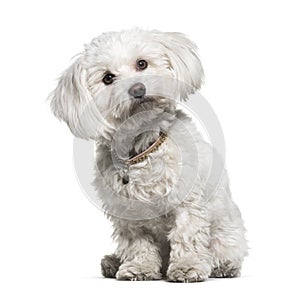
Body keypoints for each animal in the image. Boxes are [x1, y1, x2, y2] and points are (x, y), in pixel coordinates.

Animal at [49, 27, 246, 280]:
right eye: (108, 78)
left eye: (142, 63)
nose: (137, 89)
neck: (142, 149)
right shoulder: (130, 216)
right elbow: (138, 244)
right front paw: (139, 267)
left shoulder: (187, 202)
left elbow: (186, 234)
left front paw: (188, 265)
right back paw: (113, 262)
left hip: (227, 231)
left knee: (226, 249)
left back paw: (223, 266)